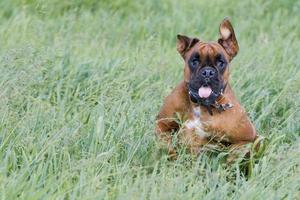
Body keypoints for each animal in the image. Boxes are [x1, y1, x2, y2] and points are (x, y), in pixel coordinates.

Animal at [155, 18, 260, 159]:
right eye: (194, 61)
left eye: (221, 63)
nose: (208, 72)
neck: (200, 105)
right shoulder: (162, 124)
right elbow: (168, 146)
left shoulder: (246, 138)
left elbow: (231, 157)